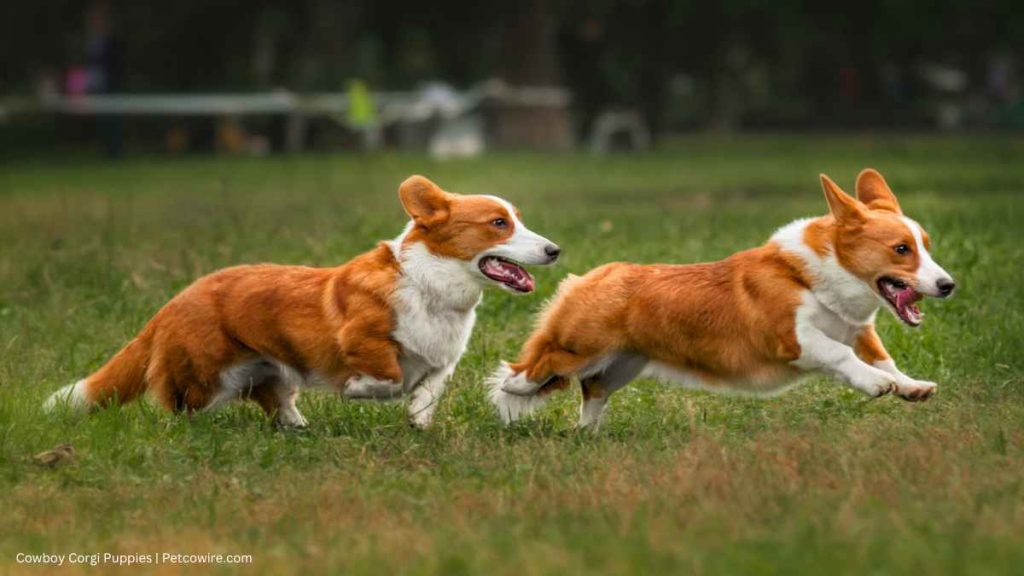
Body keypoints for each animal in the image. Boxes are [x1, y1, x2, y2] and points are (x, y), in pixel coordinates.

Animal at [44, 175, 561, 426]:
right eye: (498, 224)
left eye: (516, 219)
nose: (555, 250)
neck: (431, 284)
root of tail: (172, 302)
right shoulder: (362, 341)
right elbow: (388, 377)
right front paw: (359, 390)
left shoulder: (441, 363)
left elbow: (425, 392)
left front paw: (419, 424)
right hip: (207, 377)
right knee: (179, 404)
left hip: (267, 370)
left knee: (273, 400)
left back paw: (298, 427)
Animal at [487, 168, 950, 428]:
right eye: (901, 249)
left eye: (926, 246)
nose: (948, 285)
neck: (816, 276)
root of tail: (590, 276)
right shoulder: (795, 338)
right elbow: (843, 357)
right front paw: (877, 385)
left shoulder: (858, 330)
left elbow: (882, 357)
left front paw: (910, 387)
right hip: (580, 347)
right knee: (536, 367)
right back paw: (512, 392)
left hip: (624, 364)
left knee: (593, 389)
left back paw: (587, 434)